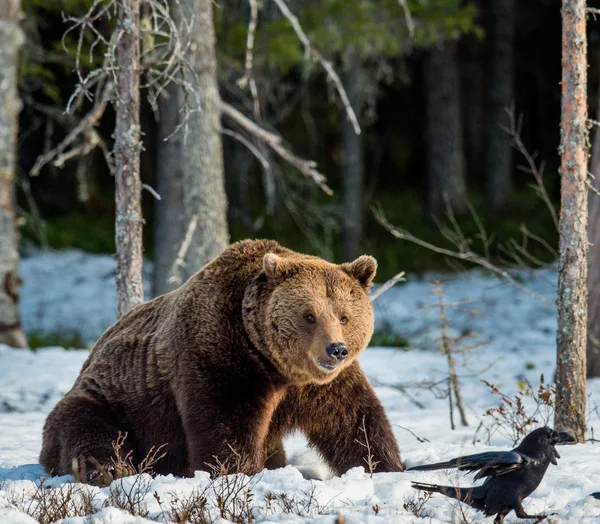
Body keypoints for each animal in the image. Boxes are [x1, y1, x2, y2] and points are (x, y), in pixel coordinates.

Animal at [39, 239, 406, 486]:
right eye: (309, 315)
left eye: (344, 316)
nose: (336, 350)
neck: (275, 365)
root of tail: (91, 355)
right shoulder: (220, 358)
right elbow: (226, 425)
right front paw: (237, 474)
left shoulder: (321, 385)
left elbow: (355, 420)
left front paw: (385, 467)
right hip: (112, 397)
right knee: (89, 429)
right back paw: (111, 469)